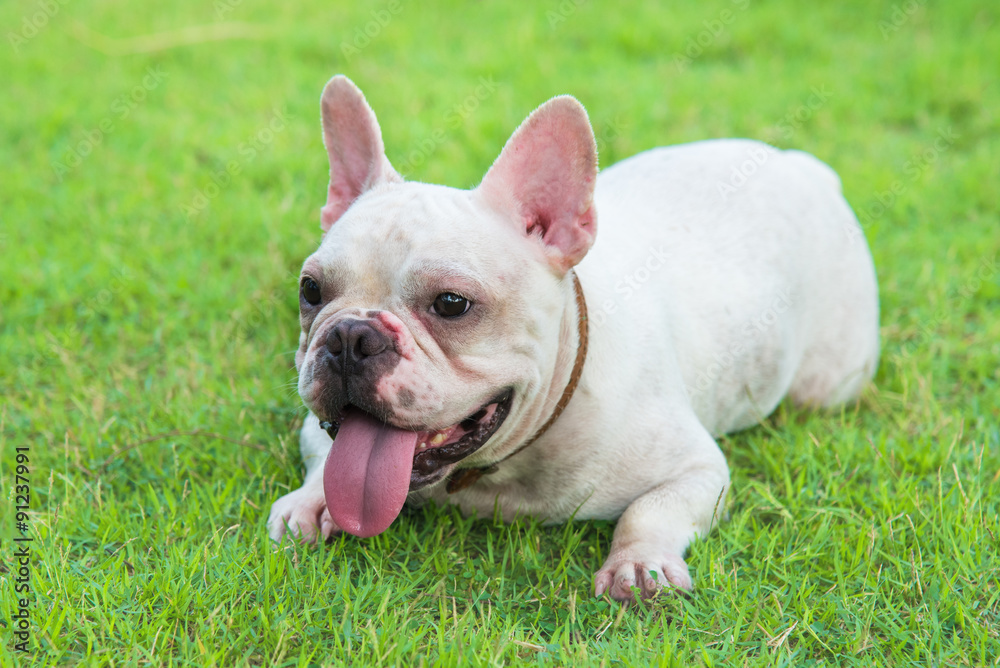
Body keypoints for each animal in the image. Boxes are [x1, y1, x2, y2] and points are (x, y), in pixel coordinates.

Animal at [270, 75, 880, 604]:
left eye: (451, 304)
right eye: (311, 290)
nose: (351, 336)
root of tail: (803, 168)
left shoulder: (697, 469)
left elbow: (650, 512)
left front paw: (638, 562)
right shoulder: (317, 431)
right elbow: (325, 462)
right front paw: (310, 504)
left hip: (827, 383)